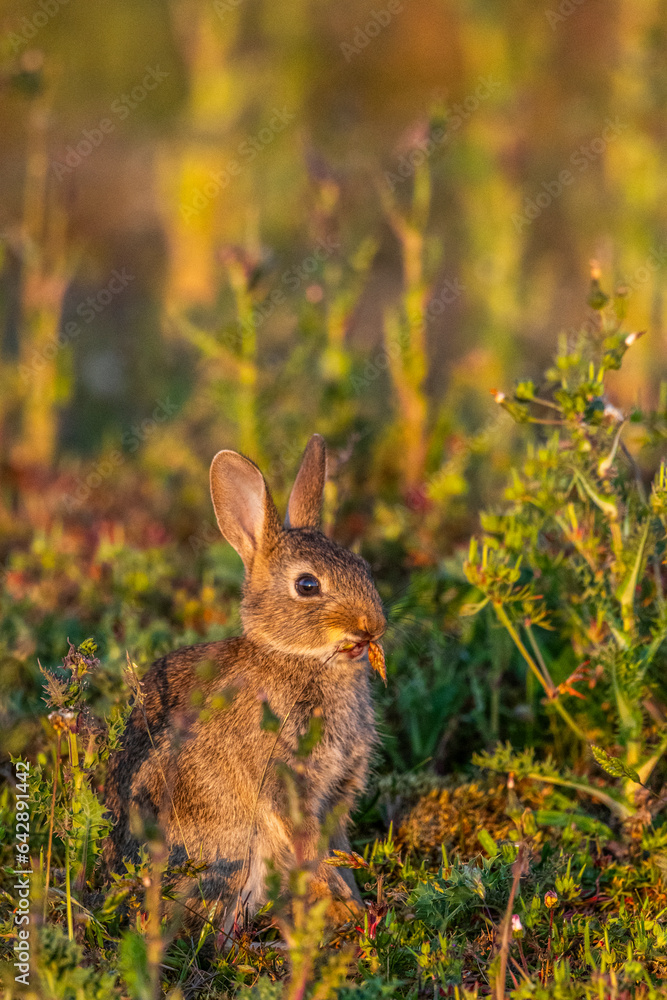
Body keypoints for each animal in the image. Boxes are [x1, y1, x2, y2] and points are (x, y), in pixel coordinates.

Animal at [104, 434, 386, 934]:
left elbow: (335, 846)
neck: (295, 656)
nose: (373, 625)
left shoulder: (335, 791)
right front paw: (347, 908)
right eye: (307, 585)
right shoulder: (283, 781)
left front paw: (353, 903)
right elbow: (308, 848)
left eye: (363, 565)